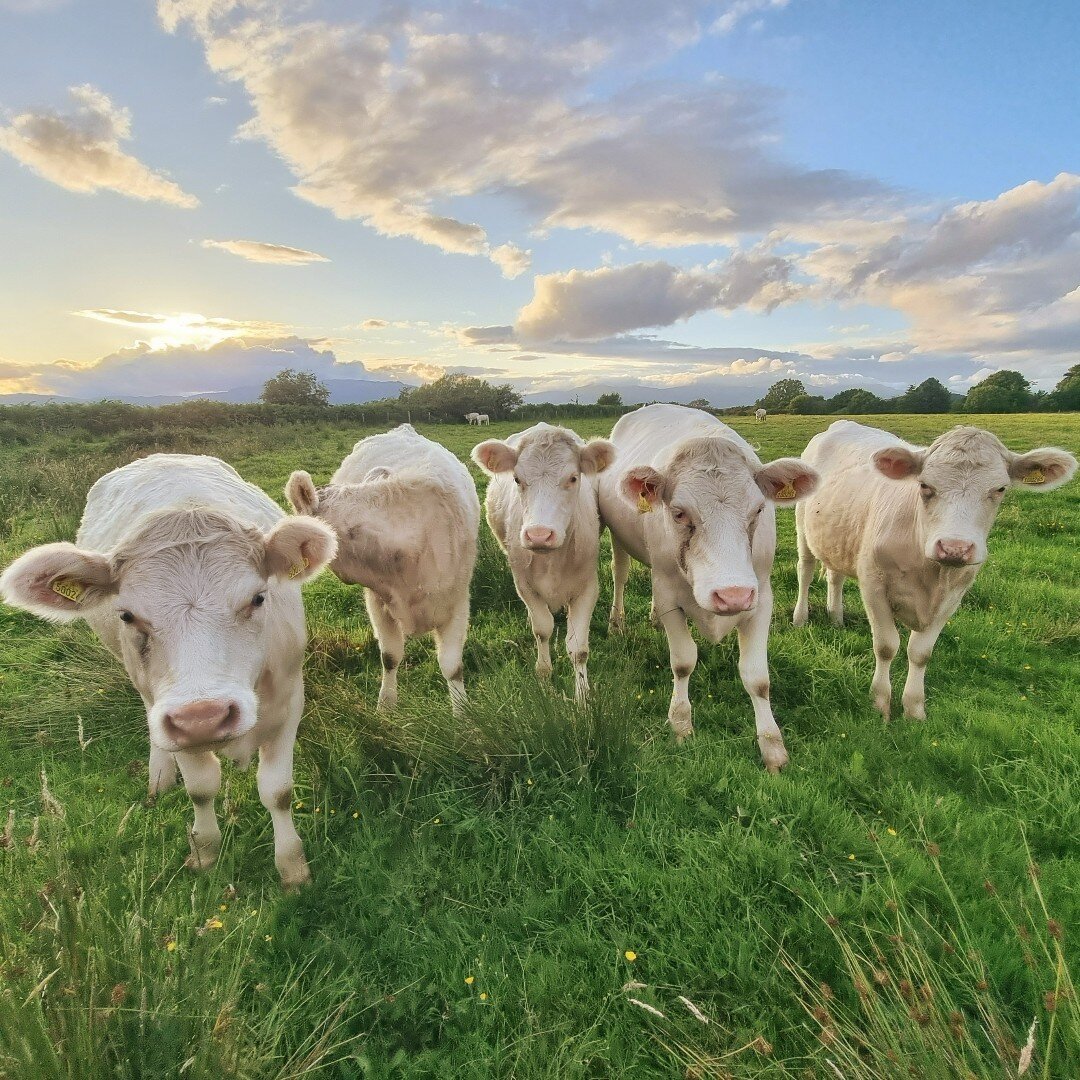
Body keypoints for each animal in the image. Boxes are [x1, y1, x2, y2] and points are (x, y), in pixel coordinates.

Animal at [0, 453, 336, 885]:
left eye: (258, 598)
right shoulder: (173, 719)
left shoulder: (291, 697)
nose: (203, 717)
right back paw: (158, 777)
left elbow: (277, 791)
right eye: (126, 614)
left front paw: (292, 868)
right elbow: (201, 787)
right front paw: (205, 851)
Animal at [285, 423, 479, 717]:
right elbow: (390, 656)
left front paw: (463, 716)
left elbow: (451, 665)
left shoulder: (458, 601)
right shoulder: (377, 599)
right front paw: (385, 707)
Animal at [475, 421, 617, 699]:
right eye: (517, 479)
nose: (539, 535)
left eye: (573, 478)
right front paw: (543, 677)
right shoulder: (524, 586)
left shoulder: (588, 588)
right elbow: (542, 630)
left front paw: (582, 697)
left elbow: (578, 648)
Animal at [600, 403, 816, 768]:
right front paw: (681, 724)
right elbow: (683, 660)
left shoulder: (762, 595)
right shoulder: (669, 594)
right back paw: (617, 622)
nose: (732, 595)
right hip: (619, 541)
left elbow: (757, 677)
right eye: (678, 512)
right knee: (620, 574)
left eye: (759, 509)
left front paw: (772, 746)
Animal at [790, 419, 1075, 717]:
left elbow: (920, 653)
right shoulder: (873, 584)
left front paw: (914, 709)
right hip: (803, 528)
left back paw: (836, 618)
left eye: (1000, 489)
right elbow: (886, 646)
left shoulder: (953, 596)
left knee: (835, 576)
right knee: (805, 570)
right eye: (924, 485)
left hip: (838, 537)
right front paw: (880, 703)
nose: (954, 547)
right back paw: (800, 618)